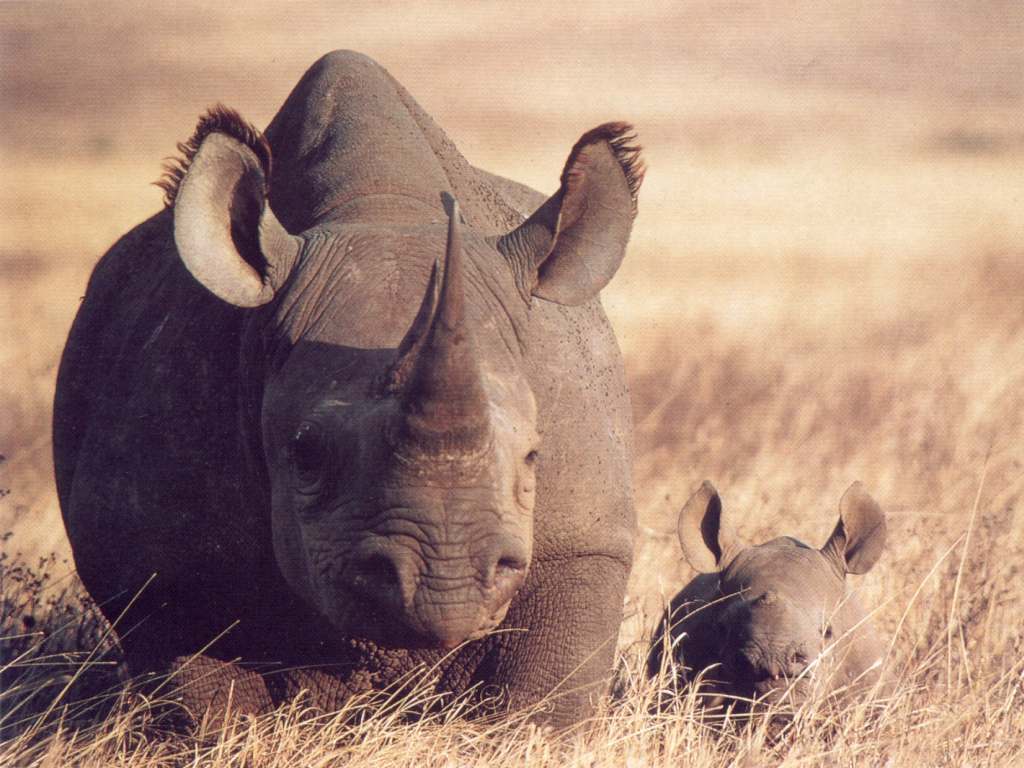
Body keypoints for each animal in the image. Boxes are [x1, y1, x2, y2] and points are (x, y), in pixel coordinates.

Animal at [53, 50, 643, 725]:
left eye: (534, 455)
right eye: (305, 453)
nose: (443, 582)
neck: (381, 206)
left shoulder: (583, 542)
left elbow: (541, 702)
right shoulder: (154, 558)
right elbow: (206, 705)